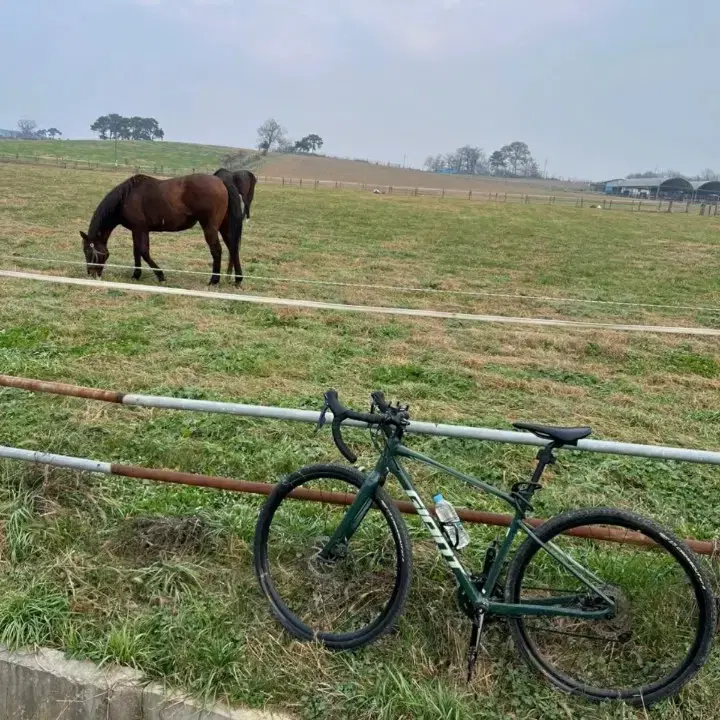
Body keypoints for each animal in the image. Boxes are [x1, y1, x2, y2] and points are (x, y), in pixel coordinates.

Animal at [77, 174, 243, 284]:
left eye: (88, 252)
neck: (126, 197)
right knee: (233, 247)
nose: (91, 274)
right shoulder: (136, 230)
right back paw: (238, 279)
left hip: (210, 227)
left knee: (217, 250)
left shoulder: (140, 229)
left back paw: (214, 280)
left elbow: (143, 252)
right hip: (223, 226)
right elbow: (136, 251)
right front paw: (136, 274)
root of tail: (220, 181)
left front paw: (160, 275)